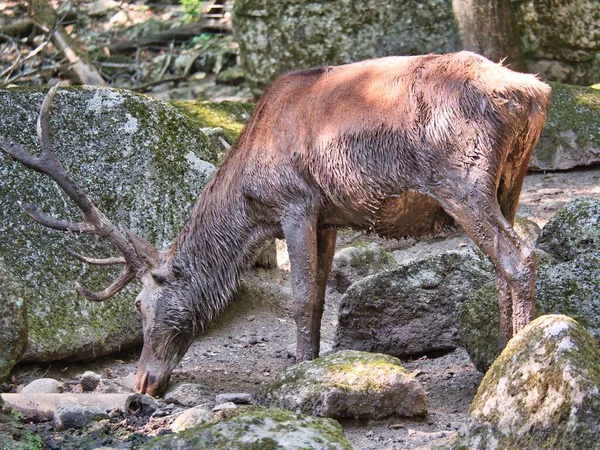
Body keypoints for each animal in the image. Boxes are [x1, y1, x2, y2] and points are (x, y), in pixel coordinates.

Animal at [2, 51, 552, 396]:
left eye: (140, 305)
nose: (143, 382)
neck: (251, 202)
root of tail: (532, 91)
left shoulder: (296, 201)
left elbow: (303, 296)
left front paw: (303, 372)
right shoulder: (330, 215)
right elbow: (322, 295)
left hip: (460, 178)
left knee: (519, 256)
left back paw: (513, 359)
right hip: (511, 180)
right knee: (502, 263)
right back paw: (500, 356)